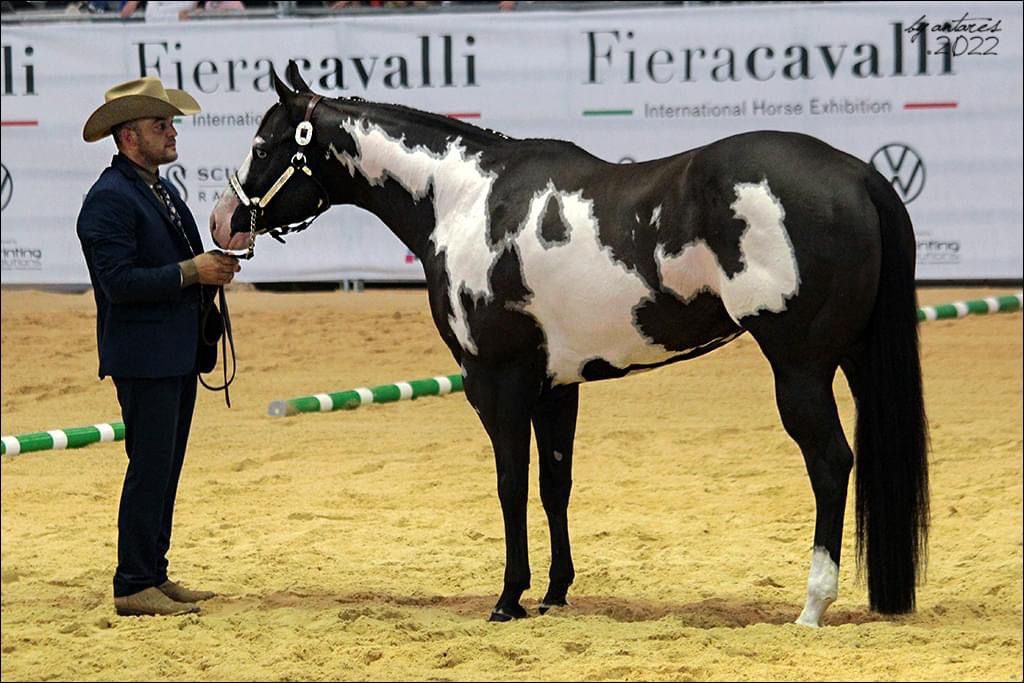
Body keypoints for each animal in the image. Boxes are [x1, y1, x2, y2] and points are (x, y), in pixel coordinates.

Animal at [211, 61, 929, 627]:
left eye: (266, 144)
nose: (224, 221)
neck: (465, 201)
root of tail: (858, 174)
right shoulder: (556, 385)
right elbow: (556, 483)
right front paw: (554, 593)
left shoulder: (495, 380)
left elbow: (510, 483)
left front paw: (507, 599)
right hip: (854, 359)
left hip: (800, 369)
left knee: (830, 463)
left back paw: (811, 606)